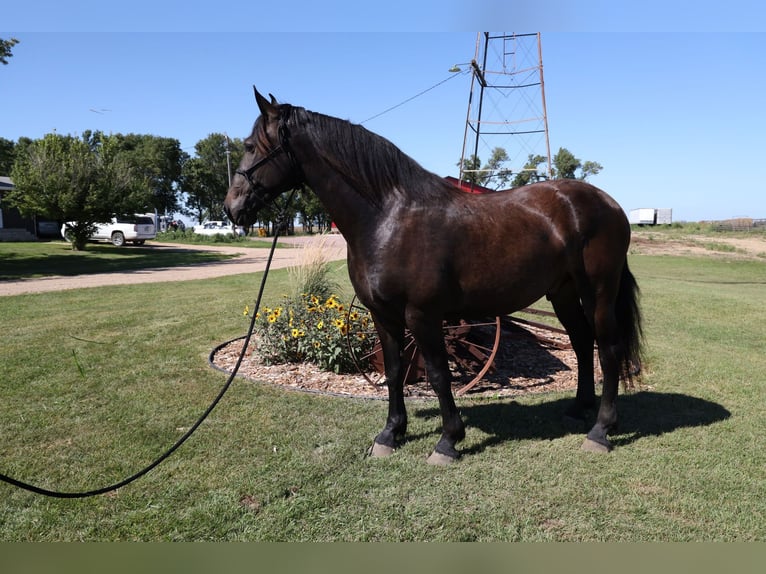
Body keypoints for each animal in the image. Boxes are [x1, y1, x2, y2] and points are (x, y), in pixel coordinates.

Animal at [225, 88, 644, 466]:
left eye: (249, 145)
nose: (232, 208)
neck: (388, 218)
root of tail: (610, 204)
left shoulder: (423, 315)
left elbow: (440, 375)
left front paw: (448, 441)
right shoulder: (383, 315)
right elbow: (395, 371)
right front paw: (390, 434)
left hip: (599, 292)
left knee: (607, 348)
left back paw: (601, 430)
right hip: (563, 293)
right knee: (582, 342)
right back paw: (578, 409)